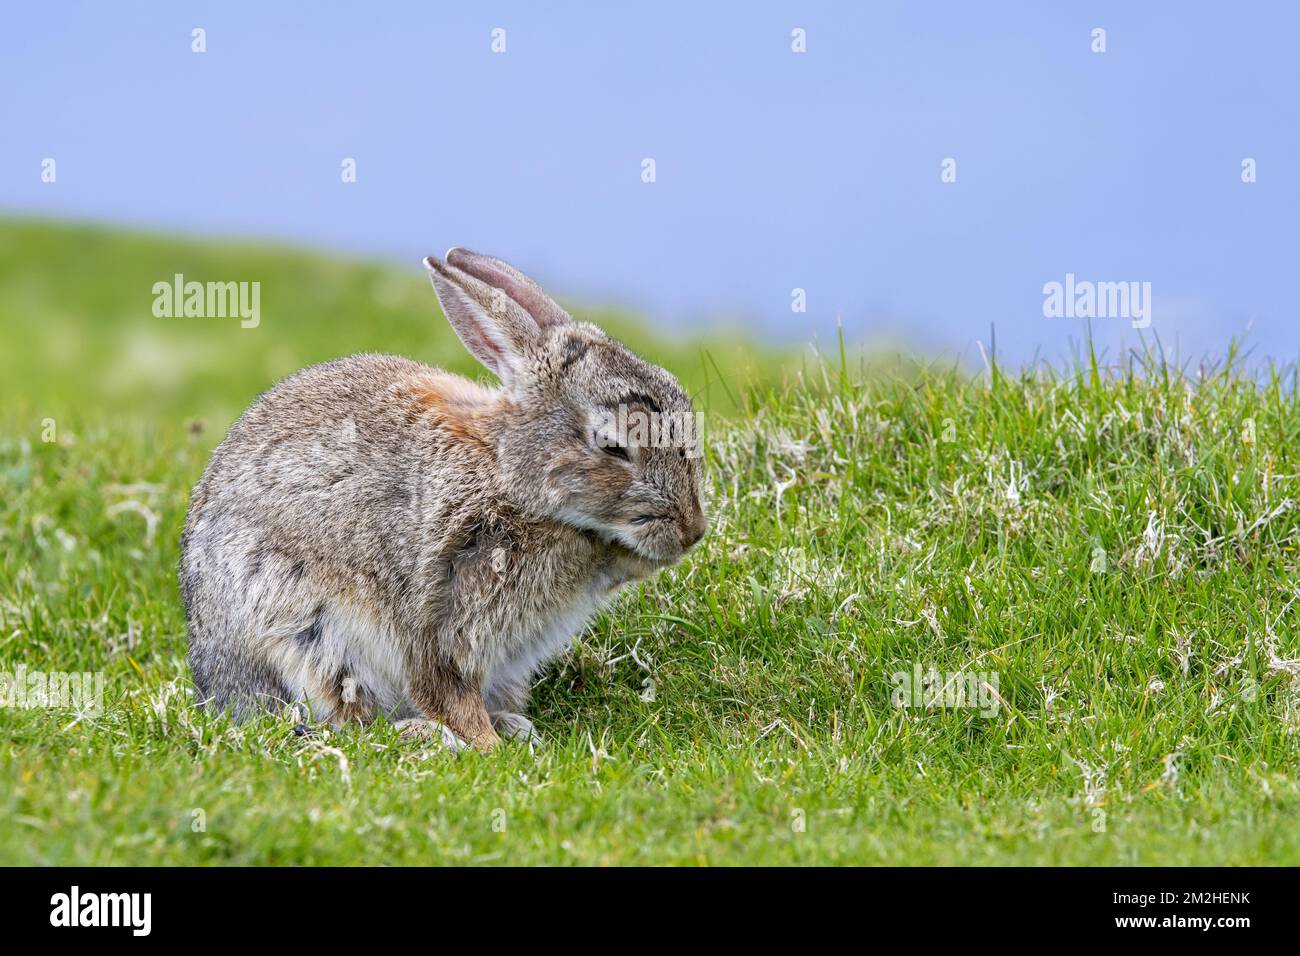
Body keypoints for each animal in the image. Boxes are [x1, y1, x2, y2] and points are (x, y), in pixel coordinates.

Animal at [178, 251, 707, 749]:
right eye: (613, 445)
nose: (692, 532)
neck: (509, 475)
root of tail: (215, 687)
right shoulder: (446, 608)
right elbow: (446, 690)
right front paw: (486, 746)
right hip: (302, 635)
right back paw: (426, 735)